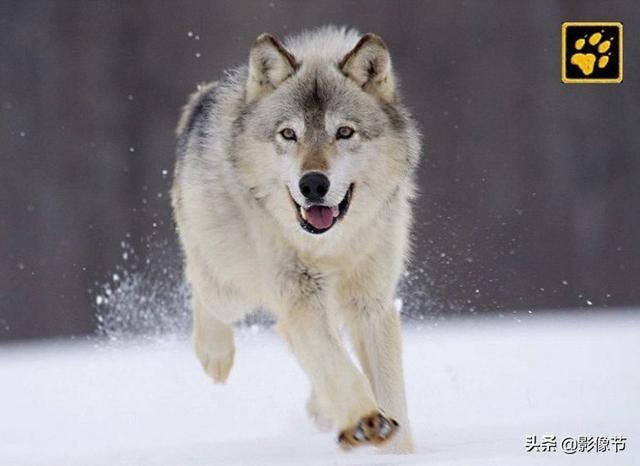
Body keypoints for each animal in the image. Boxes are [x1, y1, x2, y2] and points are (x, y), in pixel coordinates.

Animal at [170, 27, 420, 454]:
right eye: (289, 134)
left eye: (344, 132)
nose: (313, 184)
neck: (330, 247)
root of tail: (203, 97)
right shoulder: (300, 297)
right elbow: (338, 366)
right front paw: (365, 420)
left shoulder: (371, 304)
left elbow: (389, 392)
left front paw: (396, 449)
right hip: (231, 286)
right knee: (201, 285)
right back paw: (214, 355)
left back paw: (322, 410)